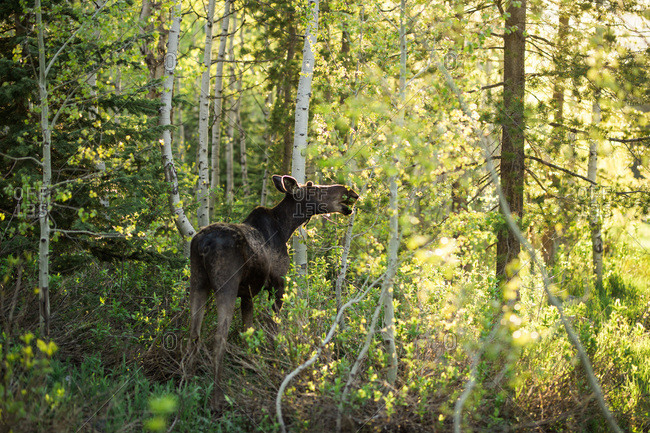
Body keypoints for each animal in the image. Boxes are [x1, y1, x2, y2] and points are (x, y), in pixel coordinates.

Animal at [185, 174, 358, 412]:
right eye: (313, 188)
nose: (349, 192)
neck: (285, 228)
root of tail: (203, 244)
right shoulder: (278, 284)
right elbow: (273, 330)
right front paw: (274, 362)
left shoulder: (247, 293)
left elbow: (247, 332)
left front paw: (250, 367)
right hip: (225, 286)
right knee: (219, 339)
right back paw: (217, 400)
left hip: (197, 282)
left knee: (193, 335)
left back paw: (186, 390)